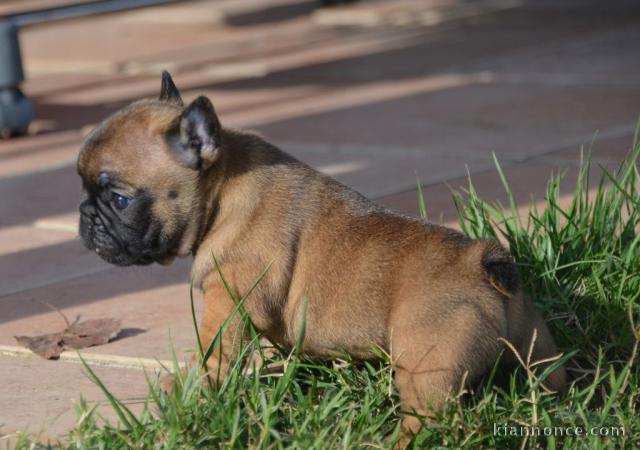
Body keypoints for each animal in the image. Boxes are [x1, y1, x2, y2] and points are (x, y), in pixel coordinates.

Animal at [79, 72, 564, 434]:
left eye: (119, 198)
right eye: (84, 189)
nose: (84, 216)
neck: (222, 191)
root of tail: (481, 261)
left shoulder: (230, 296)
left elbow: (215, 349)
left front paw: (191, 386)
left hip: (428, 365)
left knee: (427, 418)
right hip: (536, 345)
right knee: (552, 377)